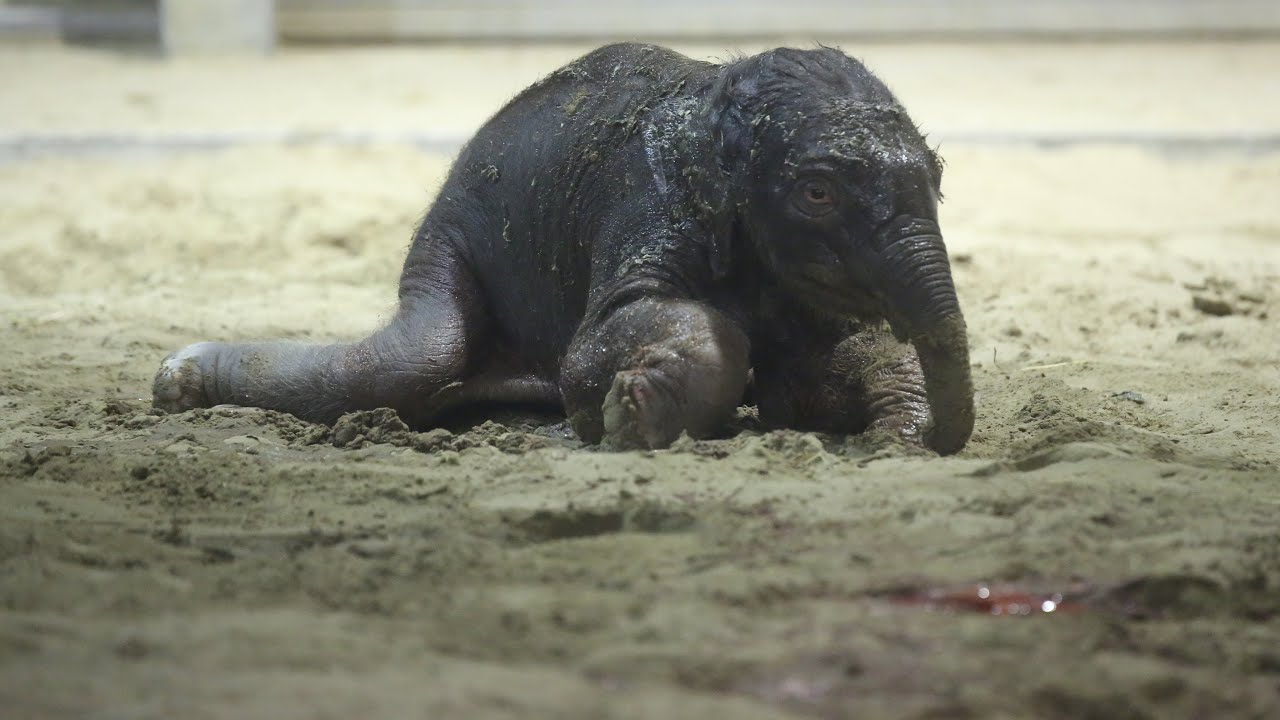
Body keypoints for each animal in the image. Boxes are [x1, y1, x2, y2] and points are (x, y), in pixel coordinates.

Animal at [154, 41, 972, 450]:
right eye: (817, 193)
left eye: (939, 178)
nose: (934, 443)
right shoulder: (646, 204)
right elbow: (602, 343)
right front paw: (628, 410)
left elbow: (814, 377)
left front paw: (896, 430)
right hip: (449, 238)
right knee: (421, 354)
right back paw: (178, 381)